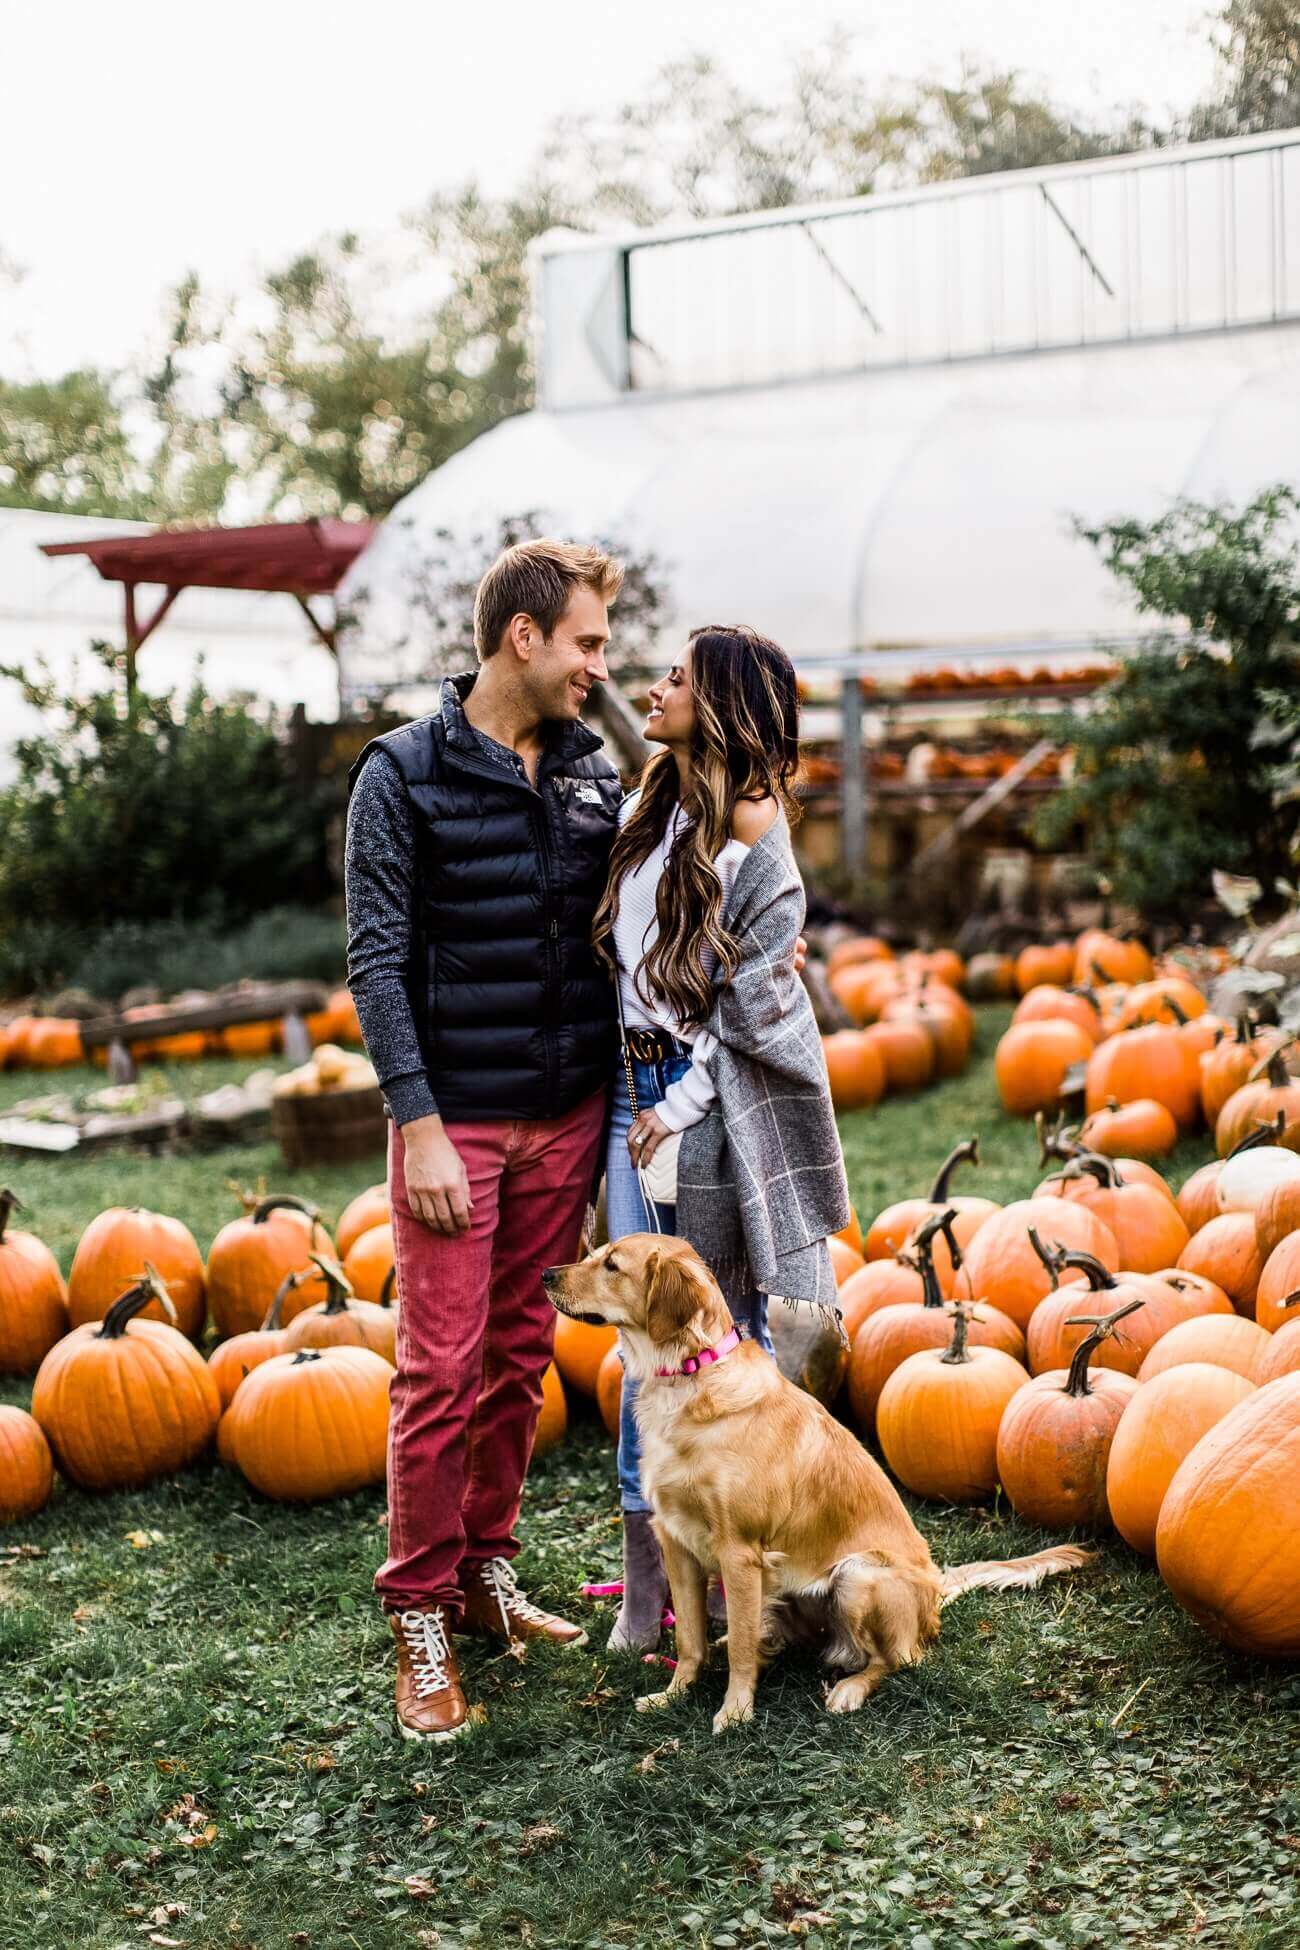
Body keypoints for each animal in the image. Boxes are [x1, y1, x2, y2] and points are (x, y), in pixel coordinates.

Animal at [545, 1240, 1091, 1731]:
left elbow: (741, 1647)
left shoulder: (739, 1551)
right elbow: (690, 1639)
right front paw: (674, 1693)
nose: (547, 1273)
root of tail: (936, 1585)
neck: (688, 1378)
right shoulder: (675, 1540)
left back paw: (850, 1689)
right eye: (595, 1253)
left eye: (612, 1265)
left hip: (858, 1576)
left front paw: (735, 1712)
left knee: (897, 1660)